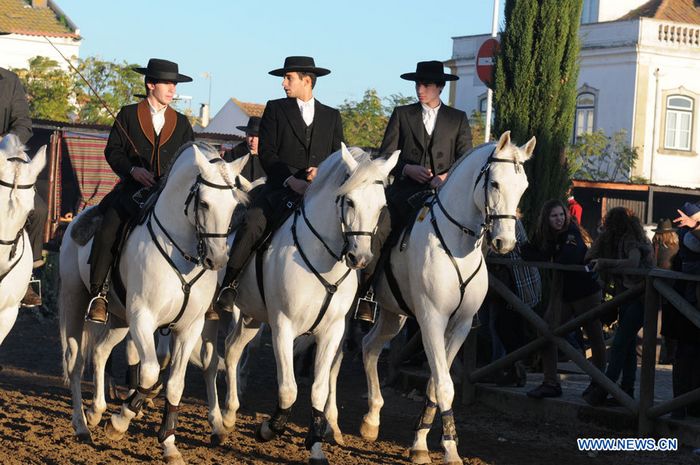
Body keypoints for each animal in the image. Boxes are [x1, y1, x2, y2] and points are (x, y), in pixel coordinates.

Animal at [58, 142, 249, 464]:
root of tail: (76, 221)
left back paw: (96, 411)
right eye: (204, 204)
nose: (218, 260)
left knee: (99, 352)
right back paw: (82, 425)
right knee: (76, 362)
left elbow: (174, 384)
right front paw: (119, 422)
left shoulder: (189, 328)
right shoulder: (142, 318)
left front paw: (169, 444)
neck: (182, 251)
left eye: (234, 206)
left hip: (119, 321)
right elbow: (148, 373)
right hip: (75, 303)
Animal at [204, 146, 400, 464]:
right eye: (349, 201)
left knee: (232, 351)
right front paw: (269, 429)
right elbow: (288, 390)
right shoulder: (283, 327)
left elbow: (318, 390)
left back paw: (230, 415)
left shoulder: (332, 332)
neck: (324, 257)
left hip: (252, 318)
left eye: (381, 205)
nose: (360, 258)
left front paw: (316, 446)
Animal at [358, 131, 532, 464]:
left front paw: (425, 443)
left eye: (524, 187)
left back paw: (371, 421)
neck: (457, 242)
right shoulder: (431, 321)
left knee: (370, 346)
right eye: (495, 183)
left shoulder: (460, 325)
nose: (505, 243)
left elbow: (434, 386)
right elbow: (445, 385)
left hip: (394, 314)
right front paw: (447, 447)